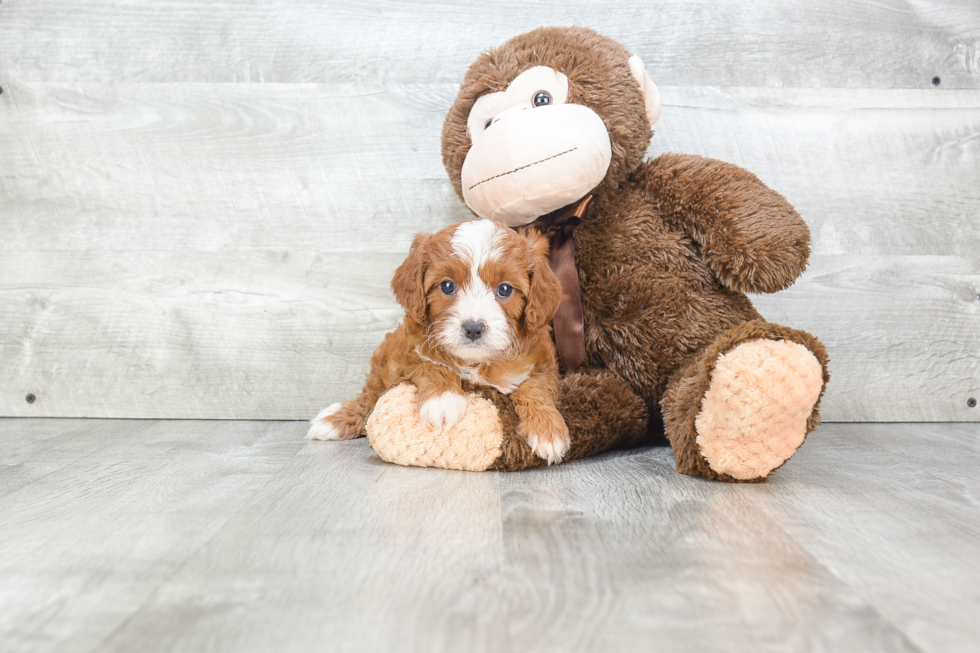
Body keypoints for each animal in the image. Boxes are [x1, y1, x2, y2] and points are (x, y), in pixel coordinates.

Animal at [302, 219, 572, 464]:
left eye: (505, 289)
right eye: (448, 286)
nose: (473, 328)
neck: (475, 362)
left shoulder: (543, 362)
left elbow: (535, 387)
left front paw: (548, 430)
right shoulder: (405, 353)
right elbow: (431, 365)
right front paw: (443, 401)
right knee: (370, 396)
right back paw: (335, 420)